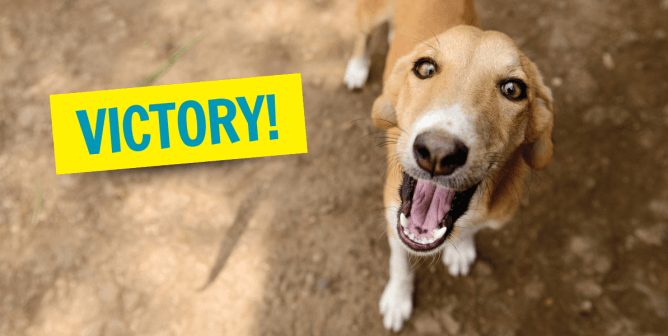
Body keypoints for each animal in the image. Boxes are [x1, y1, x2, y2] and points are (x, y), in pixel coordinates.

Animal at [342, 0, 556, 330]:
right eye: (425, 68)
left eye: (513, 89)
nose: (437, 153)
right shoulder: (392, 211)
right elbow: (400, 262)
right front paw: (397, 299)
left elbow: (470, 232)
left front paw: (461, 250)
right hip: (369, 15)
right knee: (362, 36)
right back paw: (357, 67)